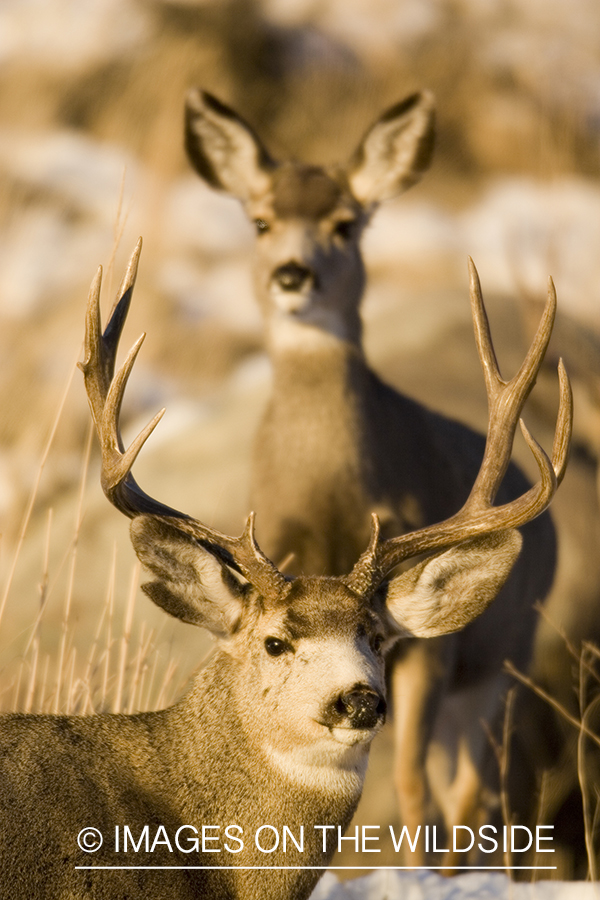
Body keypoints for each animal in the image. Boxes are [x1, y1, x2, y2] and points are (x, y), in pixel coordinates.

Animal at [186, 93, 568, 864]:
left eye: (345, 223)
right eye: (260, 220)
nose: (292, 274)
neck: (330, 498)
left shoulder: (427, 646)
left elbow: (414, 789)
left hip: (505, 657)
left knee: (468, 791)